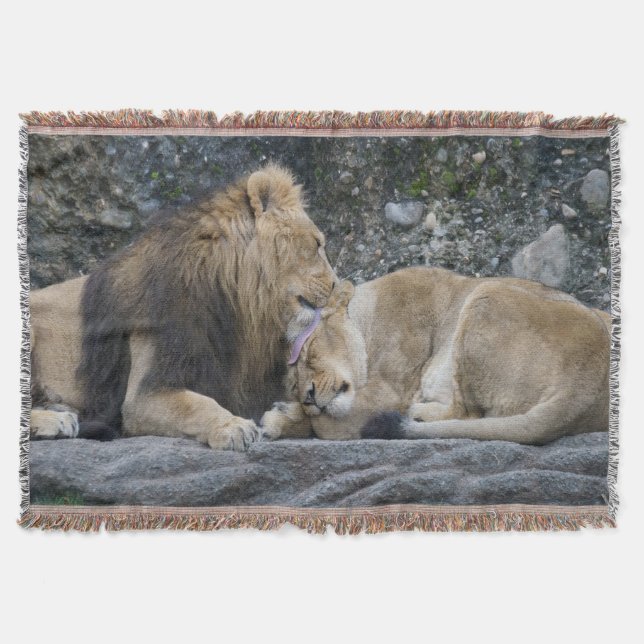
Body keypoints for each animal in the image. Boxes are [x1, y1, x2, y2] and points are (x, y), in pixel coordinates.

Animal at [29, 164, 338, 450]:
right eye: (316, 244)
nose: (336, 285)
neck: (243, 309)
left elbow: (309, 412)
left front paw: (280, 417)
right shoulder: (146, 392)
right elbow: (198, 404)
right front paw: (233, 426)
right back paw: (56, 420)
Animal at [260, 267, 611, 445]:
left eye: (307, 353)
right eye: (293, 384)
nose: (307, 396)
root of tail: (587, 382)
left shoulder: (390, 391)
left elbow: (327, 425)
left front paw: (284, 416)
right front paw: (286, 415)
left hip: (485, 295)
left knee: (469, 415)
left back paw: (417, 414)